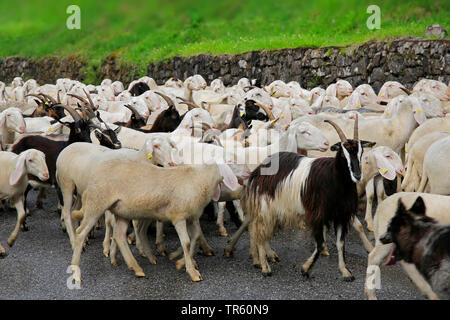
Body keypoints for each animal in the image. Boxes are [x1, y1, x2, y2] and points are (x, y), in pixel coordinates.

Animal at [241, 115, 374, 280]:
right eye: (343, 154)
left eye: (361, 153)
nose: (357, 175)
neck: (334, 179)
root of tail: (260, 169)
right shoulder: (317, 214)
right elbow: (320, 243)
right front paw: (306, 268)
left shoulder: (341, 215)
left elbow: (340, 243)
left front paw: (345, 271)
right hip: (265, 206)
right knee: (259, 231)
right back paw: (265, 267)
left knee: (261, 230)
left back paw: (265, 257)